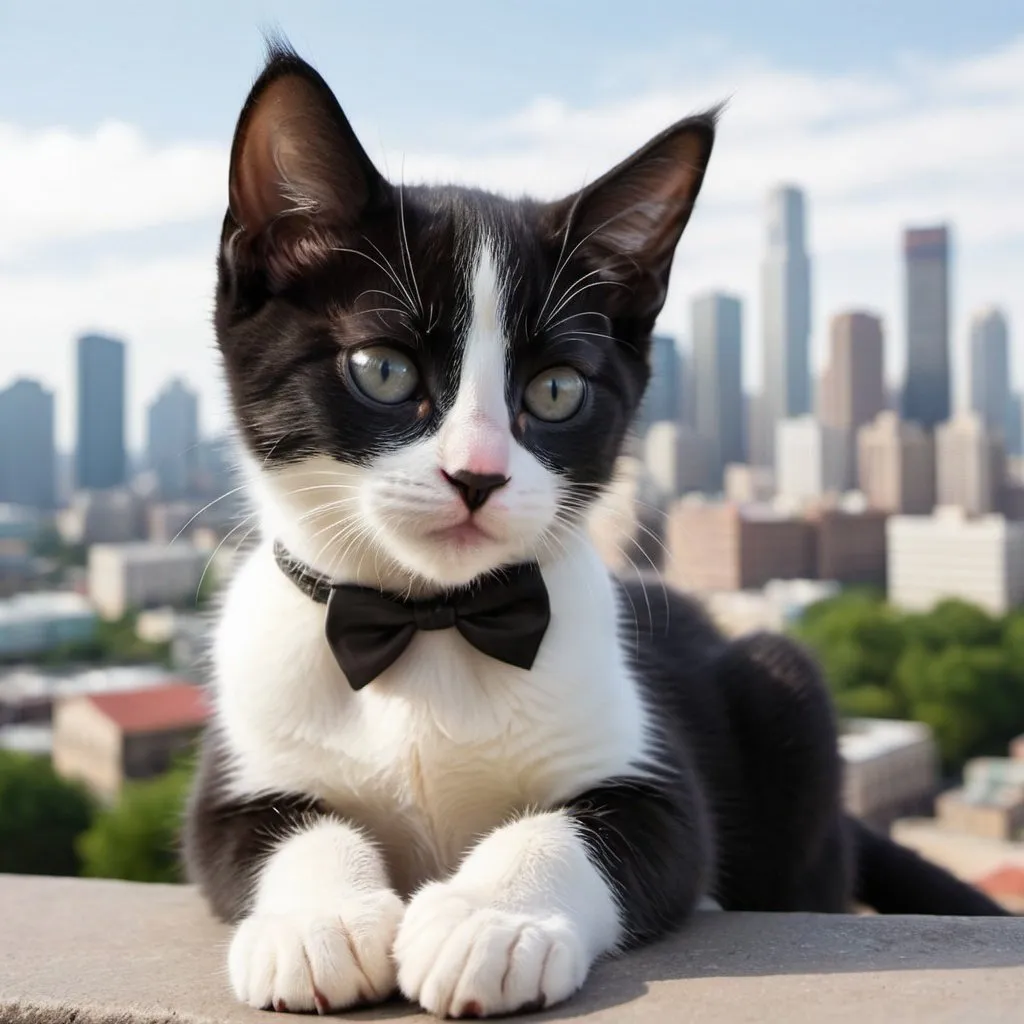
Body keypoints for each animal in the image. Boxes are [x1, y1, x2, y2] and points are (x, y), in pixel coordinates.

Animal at [186, 37, 1007, 1015]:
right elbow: (278, 829)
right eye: (382, 370)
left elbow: (592, 830)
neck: (432, 625)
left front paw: (487, 922)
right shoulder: (236, 770)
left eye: (556, 390)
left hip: (786, 698)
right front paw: (318, 923)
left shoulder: (656, 778)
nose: (477, 476)